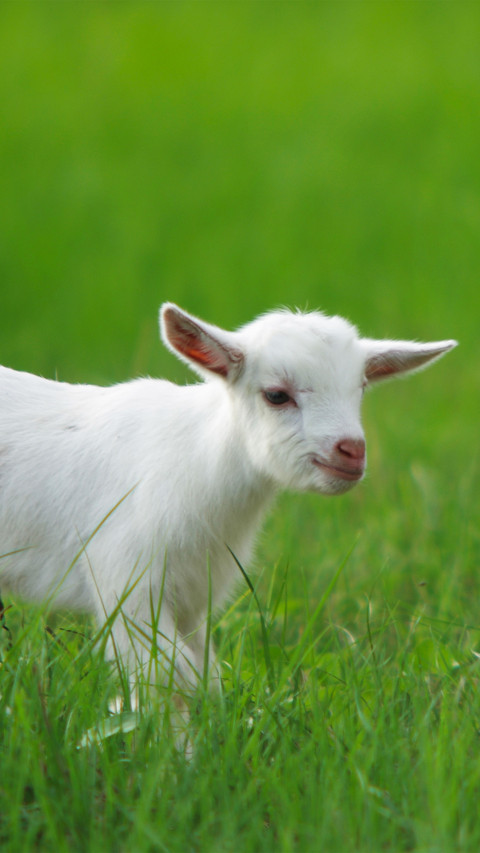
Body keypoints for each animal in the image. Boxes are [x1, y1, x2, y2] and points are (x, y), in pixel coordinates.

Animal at [0, 303, 456, 697]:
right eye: (276, 395)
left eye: (360, 387)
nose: (352, 452)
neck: (197, 459)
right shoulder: (125, 586)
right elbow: (170, 680)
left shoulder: (190, 597)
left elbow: (202, 679)